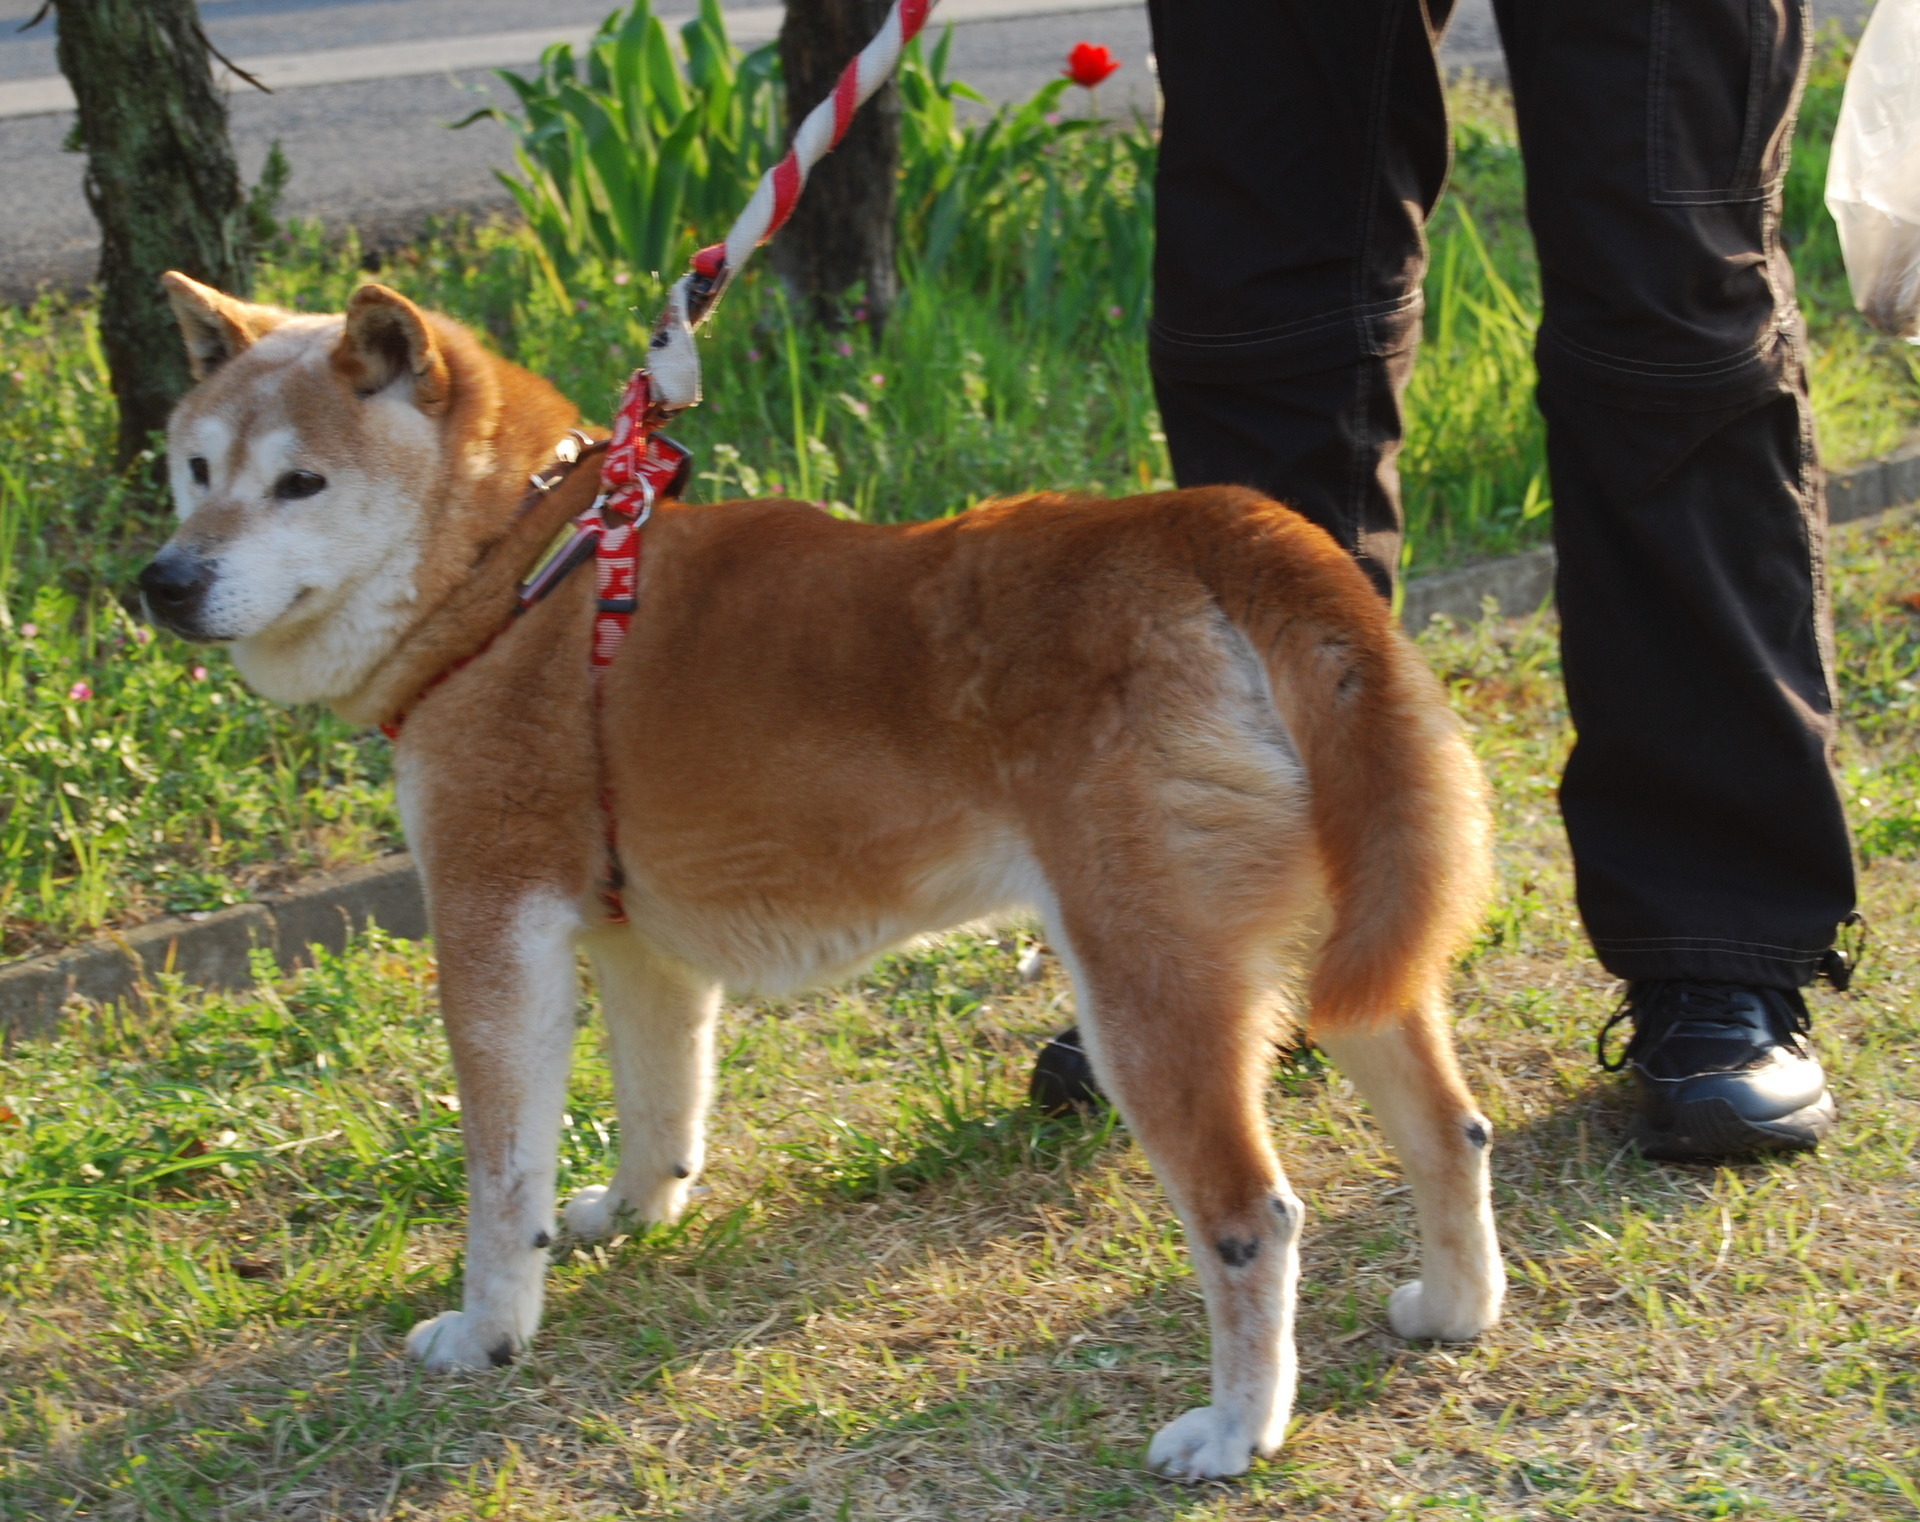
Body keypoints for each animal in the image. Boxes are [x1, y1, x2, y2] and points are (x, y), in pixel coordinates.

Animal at [145, 270, 1497, 1474]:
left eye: (300, 483)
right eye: (196, 469)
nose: (161, 581)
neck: (523, 570)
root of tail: (1202, 526)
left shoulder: (492, 921)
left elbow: (497, 1178)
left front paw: (487, 1331)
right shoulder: (637, 938)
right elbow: (659, 1106)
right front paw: (632, 1215)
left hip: (1149, 988)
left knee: (1252, 1220)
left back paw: (1235, 1431)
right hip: (1350, 950)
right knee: (1450, 1128)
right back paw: (1452, 1309)